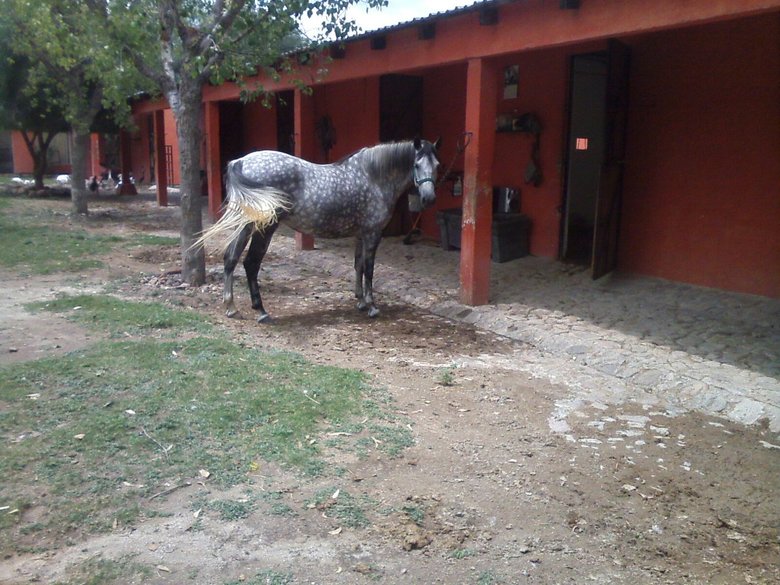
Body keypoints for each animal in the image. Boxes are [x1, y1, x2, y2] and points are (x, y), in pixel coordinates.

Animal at [197, 137, 441, 322]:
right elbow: (370, 269)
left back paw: (231, 307)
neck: (373, 177)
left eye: (437, 165)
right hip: (263, 228)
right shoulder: (373, 234)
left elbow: (358, 266)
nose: (429, 199)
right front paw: (371, 306)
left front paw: (360, 301)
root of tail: (240, 162)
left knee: (231, 258)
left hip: (246, 226)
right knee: (250, 262)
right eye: (417, 165)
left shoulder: (360, 235)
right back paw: (261, 311)